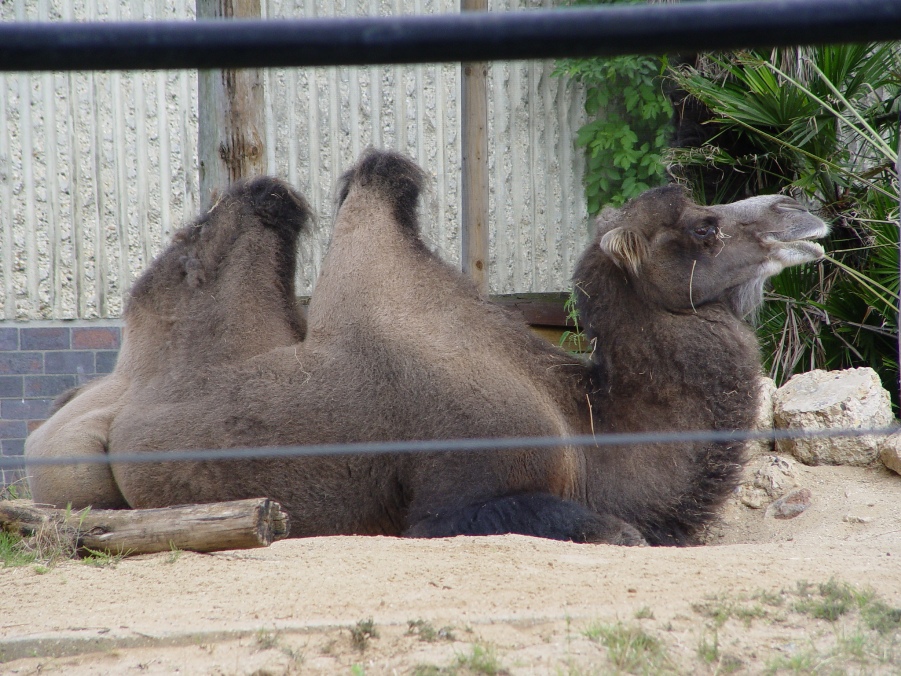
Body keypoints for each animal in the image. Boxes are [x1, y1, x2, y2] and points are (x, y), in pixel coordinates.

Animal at [25, 149, 827, 546]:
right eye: (701, 228)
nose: (800, 208)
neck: (587, 424)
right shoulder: (452, 497)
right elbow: (615, 530)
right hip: (74, 468)